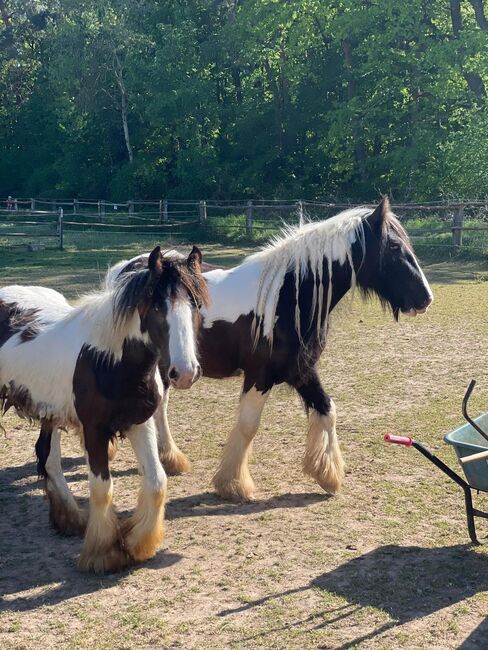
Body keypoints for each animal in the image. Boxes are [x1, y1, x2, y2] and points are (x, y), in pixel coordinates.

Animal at [0, 246, 209, 572]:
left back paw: (71, 519)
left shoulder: (140, 423)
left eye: (196, 306)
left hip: (50, 411)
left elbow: (157, 482)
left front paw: (137, 543)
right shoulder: (95, 431)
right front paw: (103, 553)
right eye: (157, 308)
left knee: (48, 459)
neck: (108, 360)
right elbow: (101, 488)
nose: (185, 372)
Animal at [104, 198, 433, 502]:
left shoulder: (301, 371)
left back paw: (170, 458)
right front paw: (232, 484)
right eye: (394, 247)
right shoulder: (259, 375)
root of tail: (126, 270)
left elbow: (327, 409)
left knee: (160, 407)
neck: (287, 296)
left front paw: (327, 474)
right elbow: (249, 425)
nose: (426, 297)